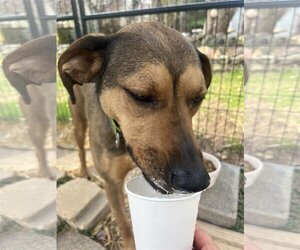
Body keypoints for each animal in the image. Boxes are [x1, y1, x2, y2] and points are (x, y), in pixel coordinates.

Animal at [58, 22, 212, 249]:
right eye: (141, 96)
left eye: (198, 98)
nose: (197, 181)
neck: (122, 138)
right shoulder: (111, 184)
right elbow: (123, 224)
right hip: (78, 121)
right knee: (80, 148)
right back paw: (84, 171)